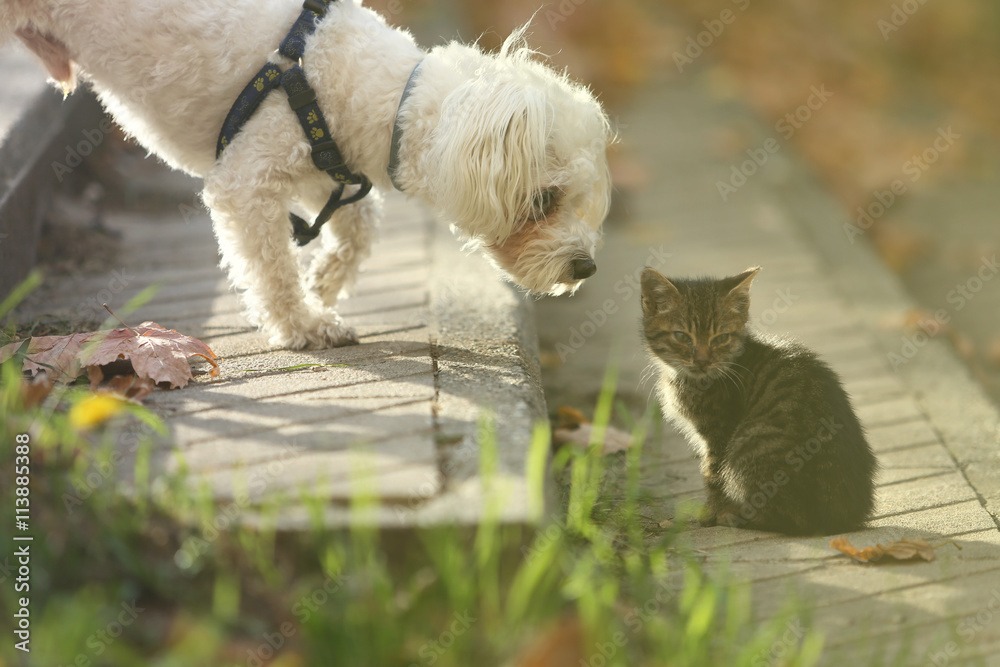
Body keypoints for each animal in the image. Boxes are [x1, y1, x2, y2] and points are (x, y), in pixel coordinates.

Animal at [3, 1, 608, 350]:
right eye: (543, 200)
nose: (587, 267)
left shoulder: (324, 163)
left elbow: (359, 223)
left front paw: (323, 282)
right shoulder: (246, 181)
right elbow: (272, 266)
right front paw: (303, 324)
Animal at [640, 268, 876, 536]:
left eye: (720, 338)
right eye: (681, 336)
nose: (702, 361)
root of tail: (839, 518)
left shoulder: (719, 432)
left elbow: (713, 475)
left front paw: (711, 513)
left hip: (749, 442)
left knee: (790, 519)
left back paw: (737, 516)